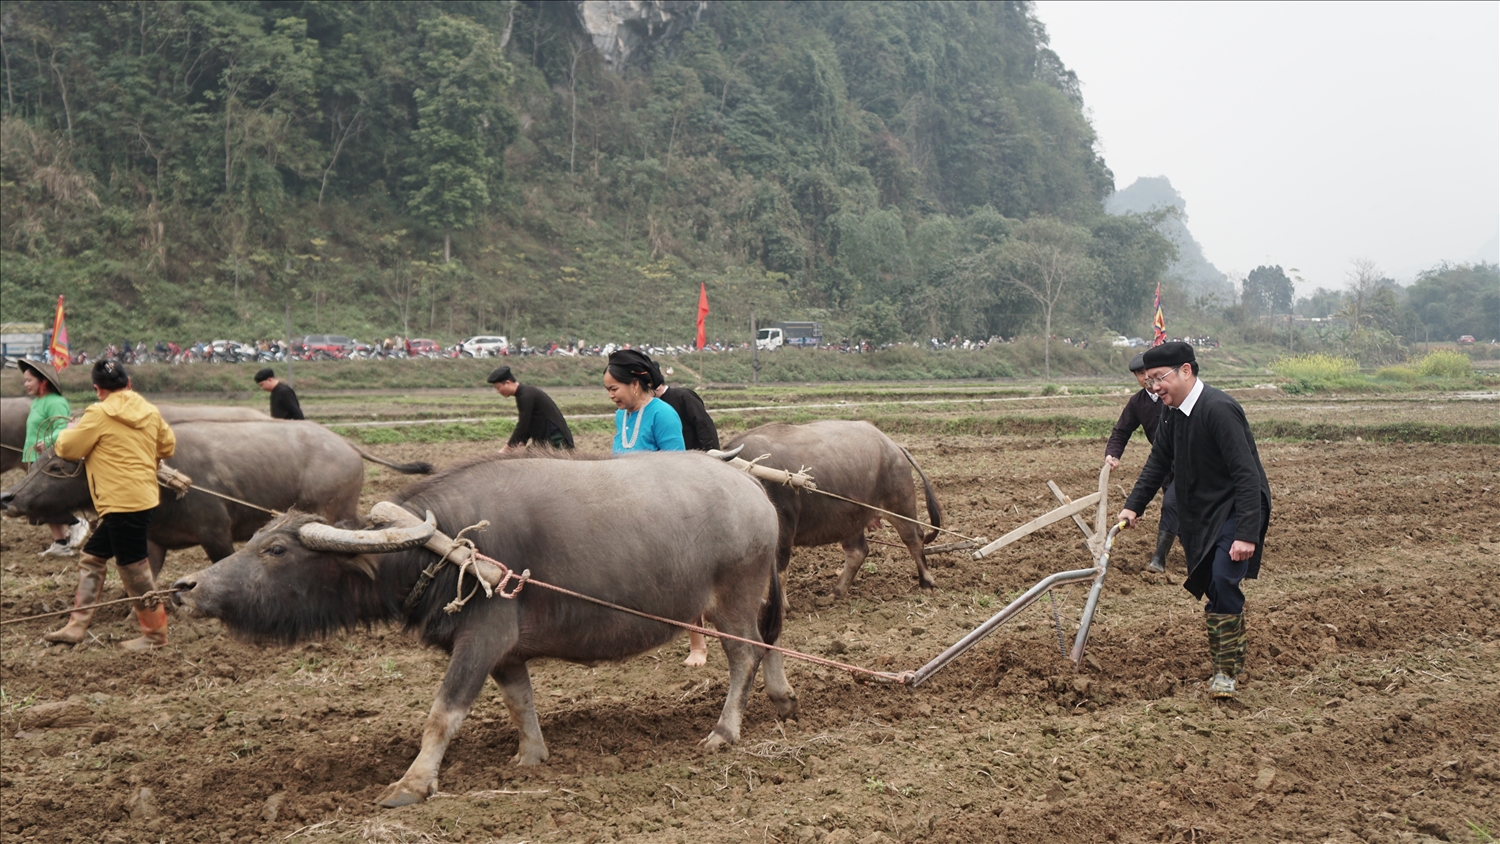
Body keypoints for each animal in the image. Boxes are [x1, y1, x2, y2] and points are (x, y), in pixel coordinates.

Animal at [1, 419, 435, 575]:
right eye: (39, 457)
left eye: (59, 467)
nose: (9, 498)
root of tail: (345, 444)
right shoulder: (153, 540)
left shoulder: (216, 535)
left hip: (334, 511)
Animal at [172, 452, 798, 809]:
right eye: (257, 540)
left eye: (276, 550)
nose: (187, 587)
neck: (445, 548)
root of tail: (754, 492)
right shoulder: (506, 653)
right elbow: (521, 703)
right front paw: (530, 757)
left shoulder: (481, 641)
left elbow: (442, 713)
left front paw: (411, 785)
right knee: (770, 639)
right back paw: (783, 698)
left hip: (732, 597)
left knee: (743, 655)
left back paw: (724, 732)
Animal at [723, 419, 942, 596]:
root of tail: (893, 446)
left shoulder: (783, 530)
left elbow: (779, 573)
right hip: (851, 519)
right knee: (857, 551)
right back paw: (836, 592)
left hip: (900, 506)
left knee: (914, 540)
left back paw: (926, 583)